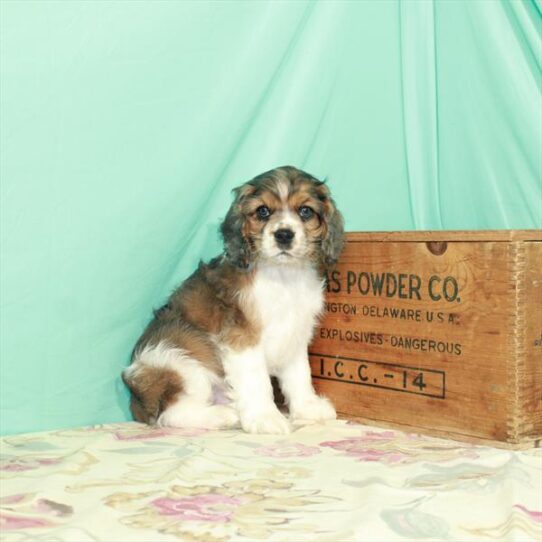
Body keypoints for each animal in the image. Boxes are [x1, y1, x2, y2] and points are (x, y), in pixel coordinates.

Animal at [122, 166, 344, 434]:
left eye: (305, 211)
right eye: (263, 211)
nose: (284, 235)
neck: (282, 276)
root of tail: (136, 402)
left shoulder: (295, 335)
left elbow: (300, 376)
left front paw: (307, 408)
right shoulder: (242, 339)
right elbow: (258, 382)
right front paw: (265, 417)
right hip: (181, 359)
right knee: (169, 414)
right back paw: (223, 416)